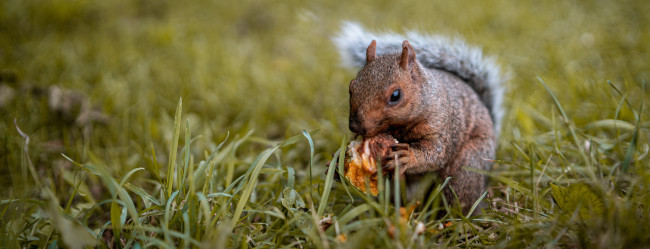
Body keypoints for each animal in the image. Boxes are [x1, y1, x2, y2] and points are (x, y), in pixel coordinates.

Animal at [332, 22, 504, 215]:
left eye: (396, 95)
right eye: (351, 87)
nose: (355, 126)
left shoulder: (441, 125)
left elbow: (436, 152)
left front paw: (408, 157)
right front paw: (339, 161)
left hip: (466, 168)